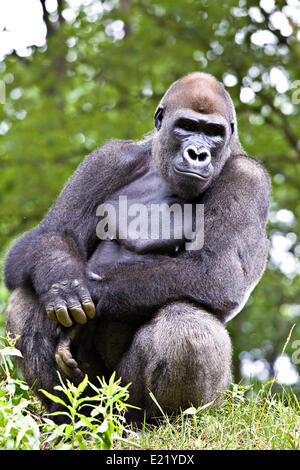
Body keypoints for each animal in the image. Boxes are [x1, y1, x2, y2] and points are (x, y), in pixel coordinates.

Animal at [3, 72, 270, 426]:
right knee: (27, 294)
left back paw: (163, 421)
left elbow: (216, 271)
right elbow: (48, 235)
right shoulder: (108, 159)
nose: (198, 154)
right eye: (186, 125)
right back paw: (68, 418)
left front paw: (88, 292)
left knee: (185, 324)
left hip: (136, 398)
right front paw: (61, 280)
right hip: (98, 396)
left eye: (214, 132)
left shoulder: (248, 178)